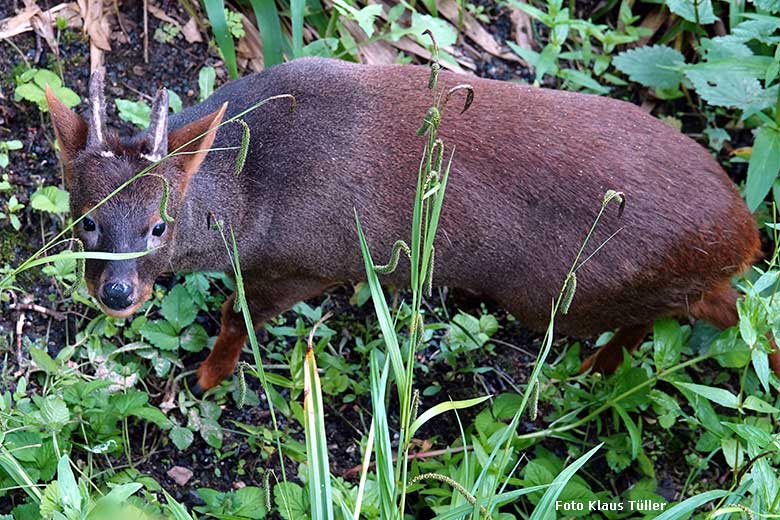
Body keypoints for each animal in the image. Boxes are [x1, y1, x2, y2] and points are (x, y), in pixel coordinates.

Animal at [45, 57, 776, 390]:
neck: (256, 194)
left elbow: (235, 315)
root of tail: (745, 232)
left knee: (706, 309)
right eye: (87, 220)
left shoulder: (310, 263)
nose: (118, 293)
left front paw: (208, 377)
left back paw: (599, 366)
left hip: (563, 296)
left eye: (158, 226)